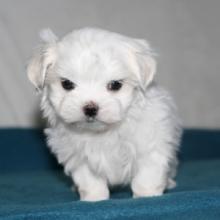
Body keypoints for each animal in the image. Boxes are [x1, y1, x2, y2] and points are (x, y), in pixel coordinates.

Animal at [27, 27, 182, 201]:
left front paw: (147, 195)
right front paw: (94, 198)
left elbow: (147, 175)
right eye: (66, 84)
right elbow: (90, 180)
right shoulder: (79, 157)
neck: (102, 132)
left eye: (115, 85)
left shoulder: (151, 144)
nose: (90, 108)